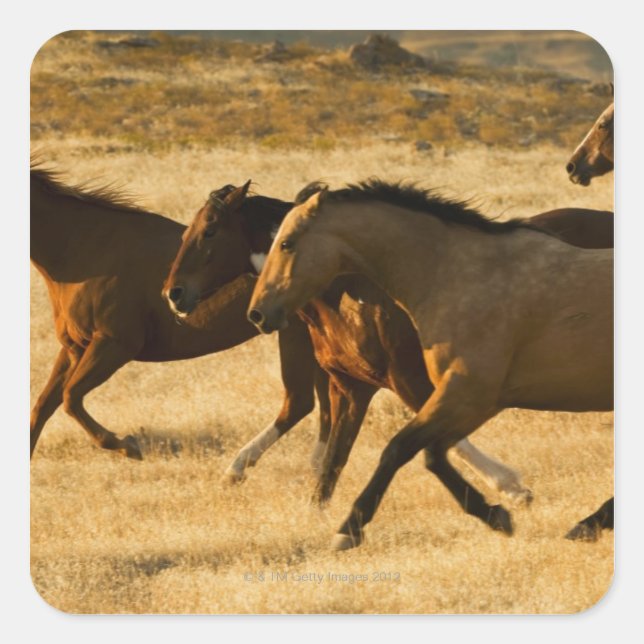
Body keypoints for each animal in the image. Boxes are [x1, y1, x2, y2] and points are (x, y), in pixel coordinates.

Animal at [30, 165, 329, 465]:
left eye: (209, 232)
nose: (173, 295)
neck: (84, 249)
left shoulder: (114, 345)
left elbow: (70, 397)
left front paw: (129, 445)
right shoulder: (74, 348)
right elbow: (41, 409)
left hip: (297, 334)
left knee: (300, 402)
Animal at [166, 182, 613, 522]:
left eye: (210, 231)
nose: (174, 294)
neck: (349, 292)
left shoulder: (411, 380)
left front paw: (511, 487)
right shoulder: (350, 387)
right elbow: (332, 462)